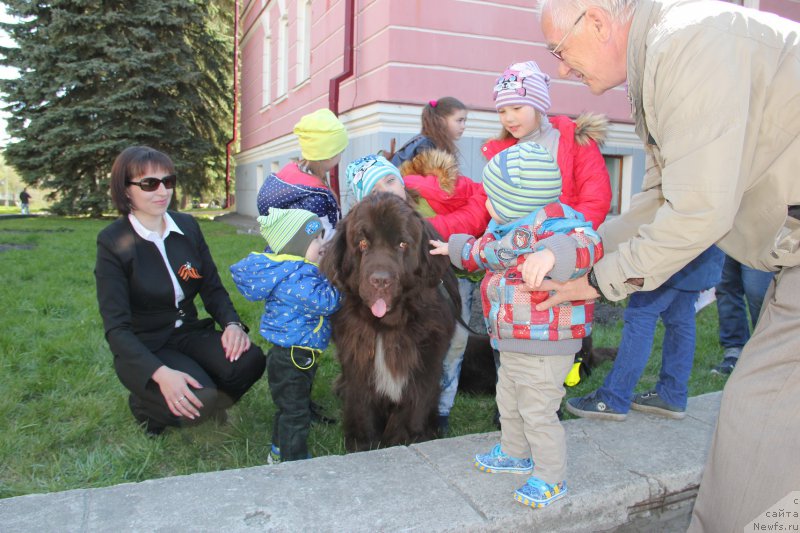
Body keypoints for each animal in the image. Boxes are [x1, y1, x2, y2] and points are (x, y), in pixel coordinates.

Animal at [318, 191, 456, 448]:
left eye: (402, 244)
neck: (386, 328)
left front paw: (411, 438)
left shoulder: (425, 365)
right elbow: (362, 406)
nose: (380, 281)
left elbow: (415, 407)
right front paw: (363, 443)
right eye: (363, 244)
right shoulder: (358, 365)